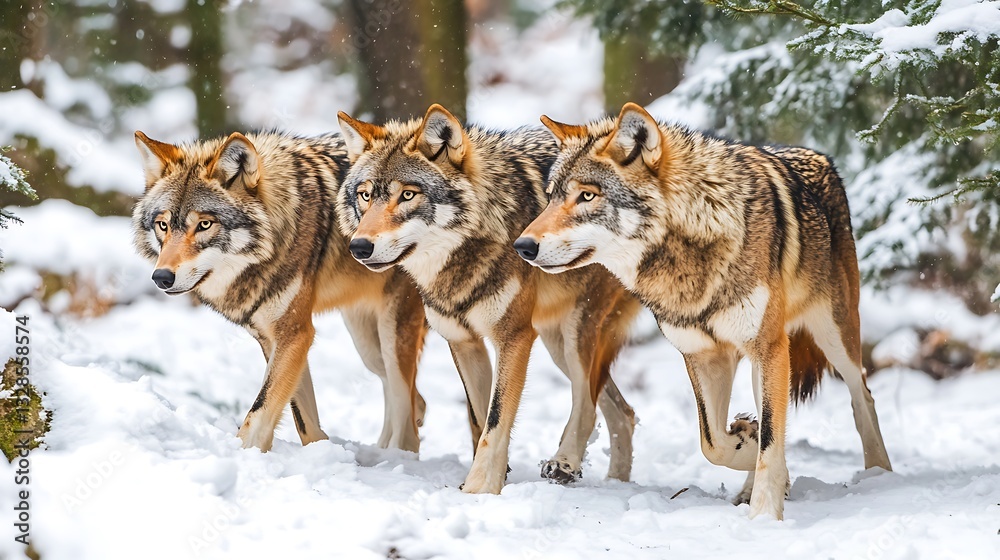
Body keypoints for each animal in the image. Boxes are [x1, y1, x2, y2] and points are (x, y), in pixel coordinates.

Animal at [132, 130, 428, 453]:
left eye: (205, 224)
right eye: (163, 225)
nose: (161, 277)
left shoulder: (296, 333)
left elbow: (259, 412)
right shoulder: (274, 339)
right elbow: (303, 419)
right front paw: (319, 450)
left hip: (392, 336)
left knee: (408, 413)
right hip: (368, 346)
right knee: (414, 400)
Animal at [336, 104, 642, 491]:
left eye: (407, 195)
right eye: (365, 195)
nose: (359, 247)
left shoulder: (514, 337)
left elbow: (496, 419)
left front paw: (480, 489)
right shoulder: (464, 342)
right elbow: (481, 417)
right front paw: (492, 479)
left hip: (574, 334)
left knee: (586, 404)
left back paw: (565, 464)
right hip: (556, 342)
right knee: (623, 413)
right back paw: (616, 482)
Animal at [514, 103, 892, 519]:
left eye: (586, 195)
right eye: (551, 197)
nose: (522, 246)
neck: (687, 258)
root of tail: (817, 156)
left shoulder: (767, 347)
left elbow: (770, 438)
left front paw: (764, 513)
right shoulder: (704, 355)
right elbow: (713, 442)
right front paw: (747, 441)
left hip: (831, 337)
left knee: (863, 397)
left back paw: (879, 475)